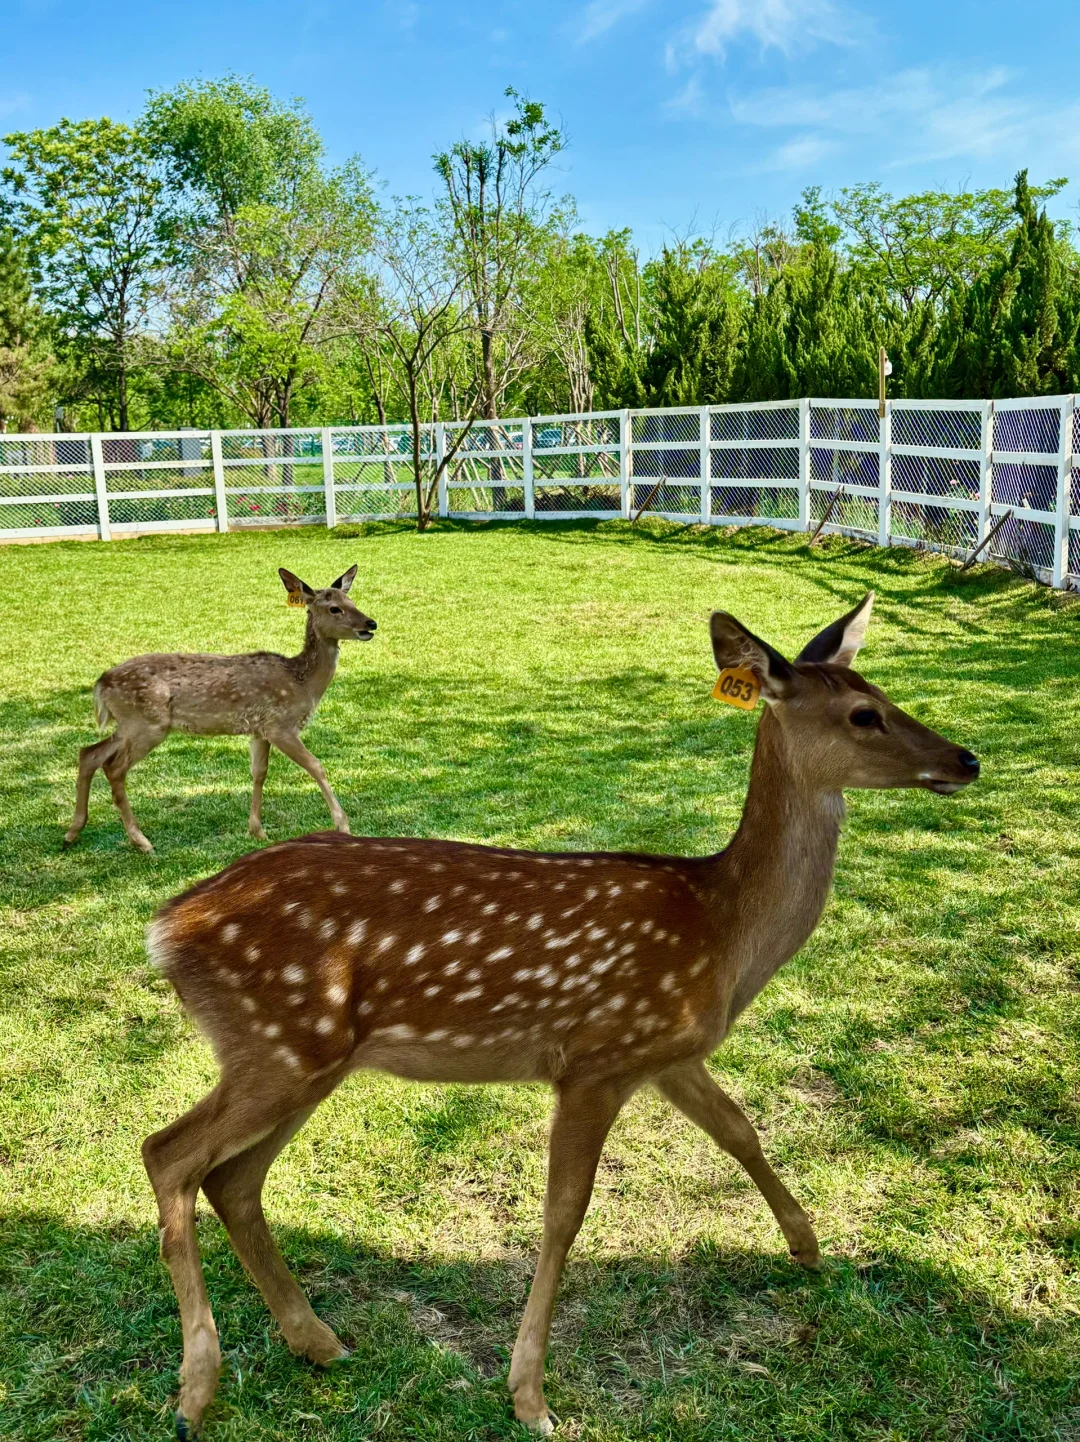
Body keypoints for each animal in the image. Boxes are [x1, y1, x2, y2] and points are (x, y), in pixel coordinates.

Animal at [63, 566, 375, 854]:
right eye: (334, 608)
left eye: (352, 600)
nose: (371, 623)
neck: (302, 683)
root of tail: (101, 684)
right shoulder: (280, 724)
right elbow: (316, 766)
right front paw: (343, 825)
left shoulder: (259, 729)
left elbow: (259, 773)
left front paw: (256, 830)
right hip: (147, 724)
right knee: (114, 767)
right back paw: (142, 842)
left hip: (129, 724)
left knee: (89, 753)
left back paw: (72, 832)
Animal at [141, 592, 980, 1439]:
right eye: (864, 714)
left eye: (881, 695)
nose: (967, 760)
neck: (723, 931)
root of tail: (165, 927)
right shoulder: (596, 1059)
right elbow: (565, 1214)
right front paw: (530, 1396)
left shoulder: (668, 1053)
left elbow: (740, 1131)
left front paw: (808, 1247)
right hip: (280, 1045)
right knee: (168, 1153)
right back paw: (196, 1387)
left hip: (305, 1056)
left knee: (232, 1178)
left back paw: (317, 1341)